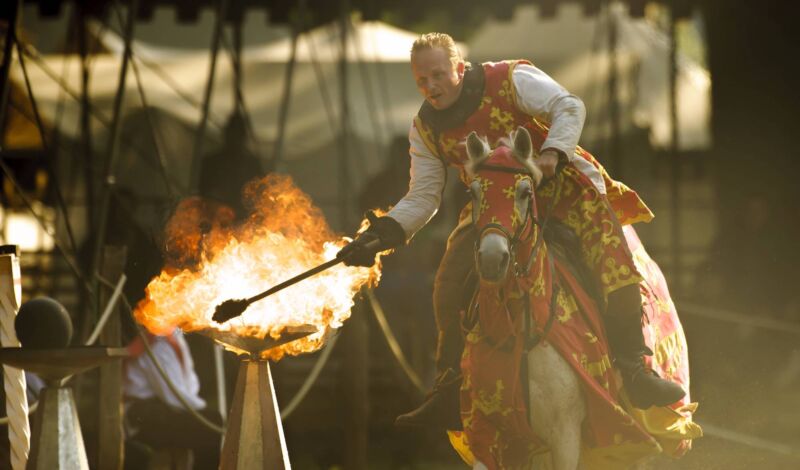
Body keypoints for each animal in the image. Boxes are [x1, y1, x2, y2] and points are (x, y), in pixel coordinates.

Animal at [456, 126, 700, 470]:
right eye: (474, 193)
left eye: (524, 193)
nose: (492, 259)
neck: (521, 333)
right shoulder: (492, 435)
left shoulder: (566, 436)